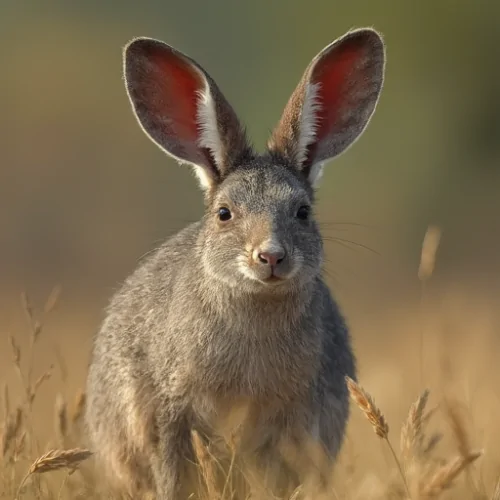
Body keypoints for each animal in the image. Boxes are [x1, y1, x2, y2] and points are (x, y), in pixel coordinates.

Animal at [84, 28, 384, 500]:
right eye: (224, 213)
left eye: (302, 212)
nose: (271, 255)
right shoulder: (170, 413)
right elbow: (172, 474)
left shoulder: (292, 422)